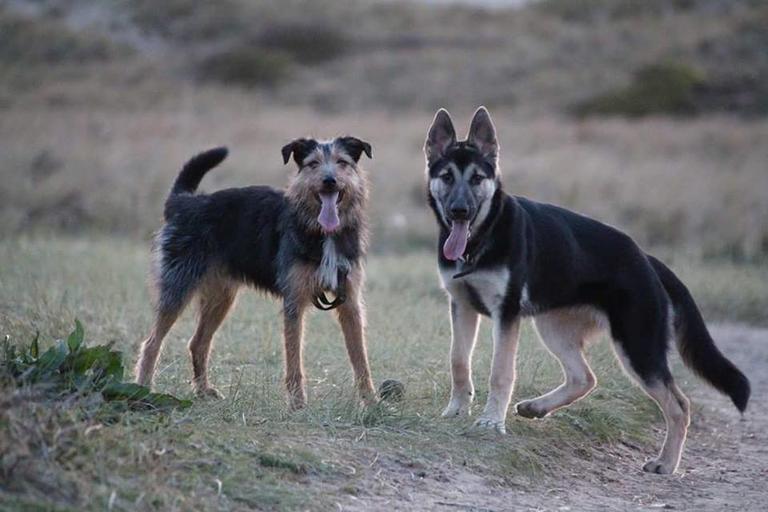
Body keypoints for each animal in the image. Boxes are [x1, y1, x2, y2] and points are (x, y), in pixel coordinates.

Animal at [138, 138, 378, 410]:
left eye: (342, 162)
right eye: (313, 164)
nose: (329, 180)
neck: (324, 232)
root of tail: (183, 202)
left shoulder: (349, 303)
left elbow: (360, 359)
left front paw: (371, 401)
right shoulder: (294, 303)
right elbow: (294, 360)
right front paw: (297, 403)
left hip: (221, 298)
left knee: (198, 343)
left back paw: (203, 390)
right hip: (177, 290)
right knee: (151, 343)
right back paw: (143, 389)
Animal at [424, 106, 748, 474]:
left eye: (477, 178)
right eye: (447, 176)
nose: (459, 211)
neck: (481, 240)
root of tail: (646, 259)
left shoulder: (505, 315)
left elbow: (500, 372)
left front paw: (492, 422)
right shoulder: (461, 307)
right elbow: (458, 361)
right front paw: (456, 410)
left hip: (637, 347)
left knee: (679, 405)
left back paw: (666, 463)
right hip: (553, 327)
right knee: (585, 378)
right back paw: (536, 408)